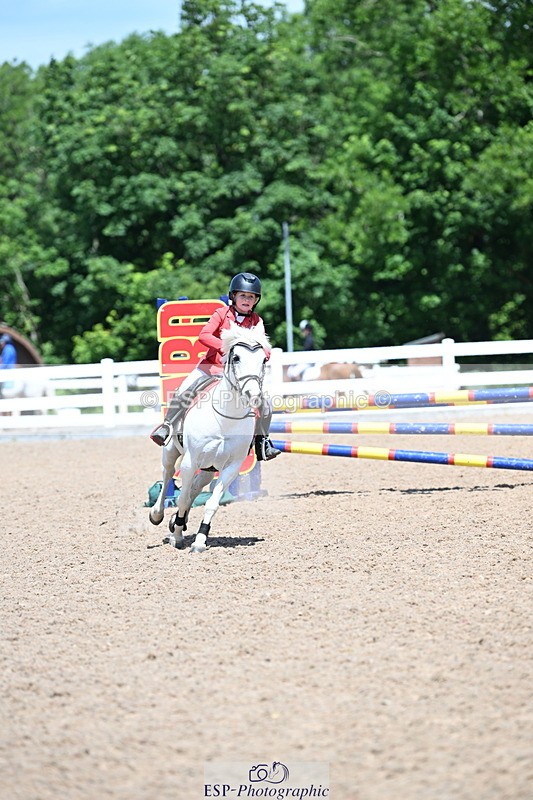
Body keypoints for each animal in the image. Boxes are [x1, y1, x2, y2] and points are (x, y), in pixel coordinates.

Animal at [149, 323, 269, 553]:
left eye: (264, 360)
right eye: (236, 357)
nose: (253, 395)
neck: (225, 419)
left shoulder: (231, 467)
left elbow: (211, 503)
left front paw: (199, 540)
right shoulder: (190, 461)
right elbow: (182, 499)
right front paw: (177, 536)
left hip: (208, 468)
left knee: (196, 487)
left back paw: (177, 521)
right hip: (172, 452)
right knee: (168, 475)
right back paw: (158, 514)